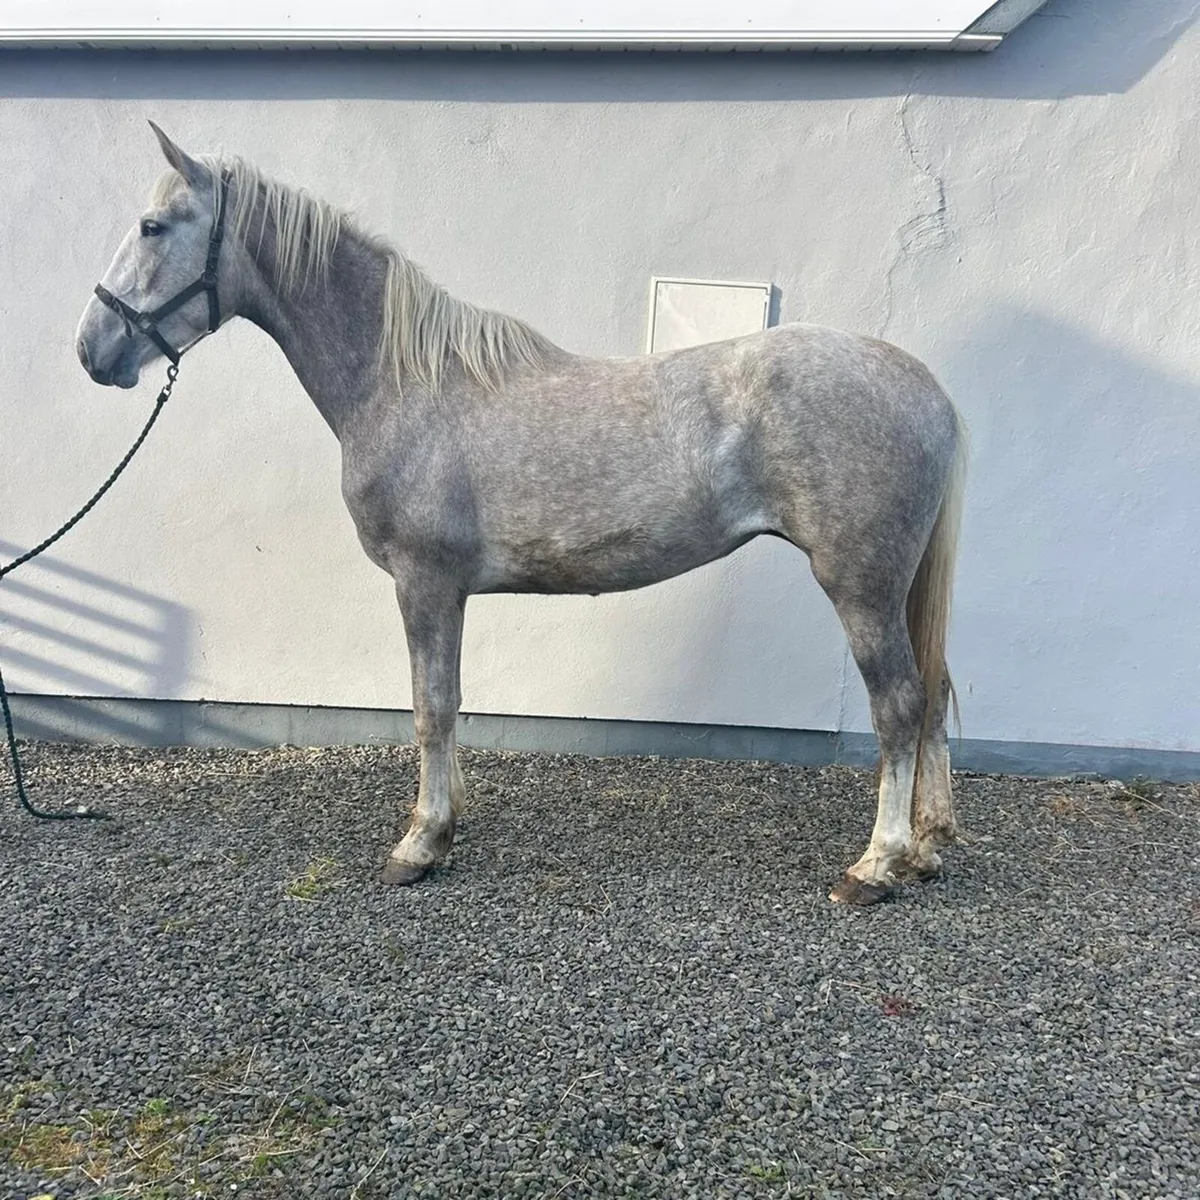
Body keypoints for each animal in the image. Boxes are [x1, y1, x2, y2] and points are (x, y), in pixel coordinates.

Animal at [75, 123, 968, 905]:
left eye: (154, 225)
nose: (92, 350)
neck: (404, 381)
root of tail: (926, 386)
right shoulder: (448, 591)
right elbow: (449, 700)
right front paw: (441, 827)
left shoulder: (424, 583)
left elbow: (430, 706)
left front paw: (420, 844)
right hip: (896, 587)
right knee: (932, 693)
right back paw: (926, 851)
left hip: (859, 585)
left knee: (899, 704)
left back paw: (877, 866)